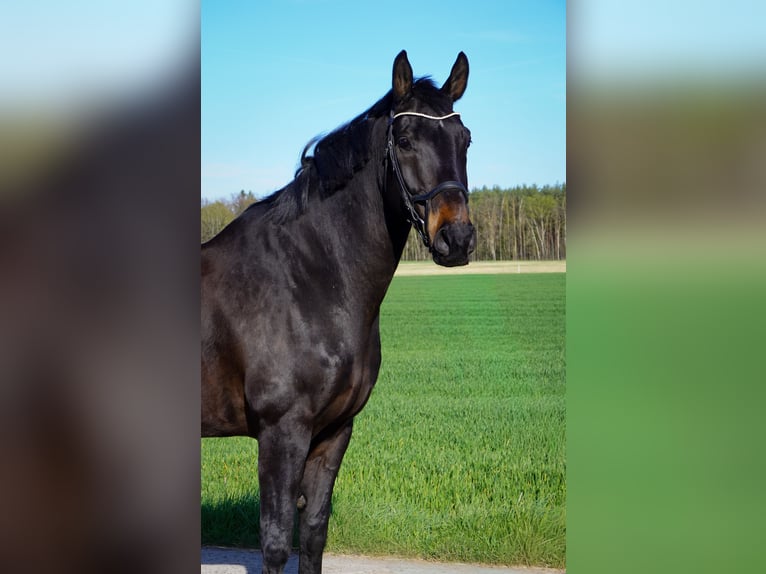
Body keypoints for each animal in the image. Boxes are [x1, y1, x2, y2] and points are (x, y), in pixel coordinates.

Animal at [201, 50, 475, 574]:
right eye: (405, 140)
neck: (308, 279)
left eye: (465, 139)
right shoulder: (281, 433)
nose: (457, 239)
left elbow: (312, 535)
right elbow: (275, 542)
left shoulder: (333, 433)